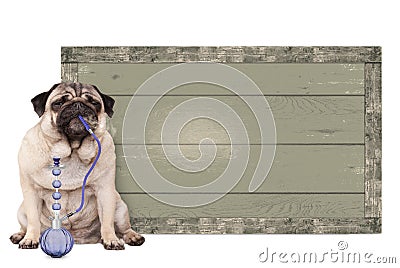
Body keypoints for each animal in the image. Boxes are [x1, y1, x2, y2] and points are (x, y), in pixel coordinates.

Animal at [9, 82, 145, 250]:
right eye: (58, 103)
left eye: (94, 103)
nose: (78, 104)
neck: (71, 152)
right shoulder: (31, 192)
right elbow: (33, 220)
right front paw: (30, 239)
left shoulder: (105, 191)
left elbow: (107, 220)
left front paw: (111, 239)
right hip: (21, 211)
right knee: (25, 225)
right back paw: (20, 235)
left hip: (120, 209)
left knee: (123, 228)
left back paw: (132, 237)